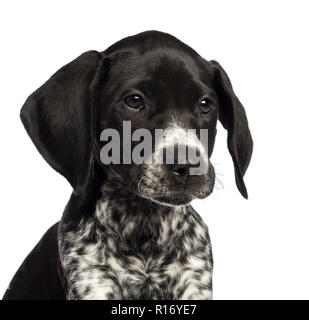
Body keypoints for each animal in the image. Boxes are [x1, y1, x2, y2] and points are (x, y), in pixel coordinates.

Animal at [3, 30, 251, 300]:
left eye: (206, 104)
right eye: (134, 100)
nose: (187, 165)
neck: (145, 225)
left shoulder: (194, 284)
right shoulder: (93, 283)